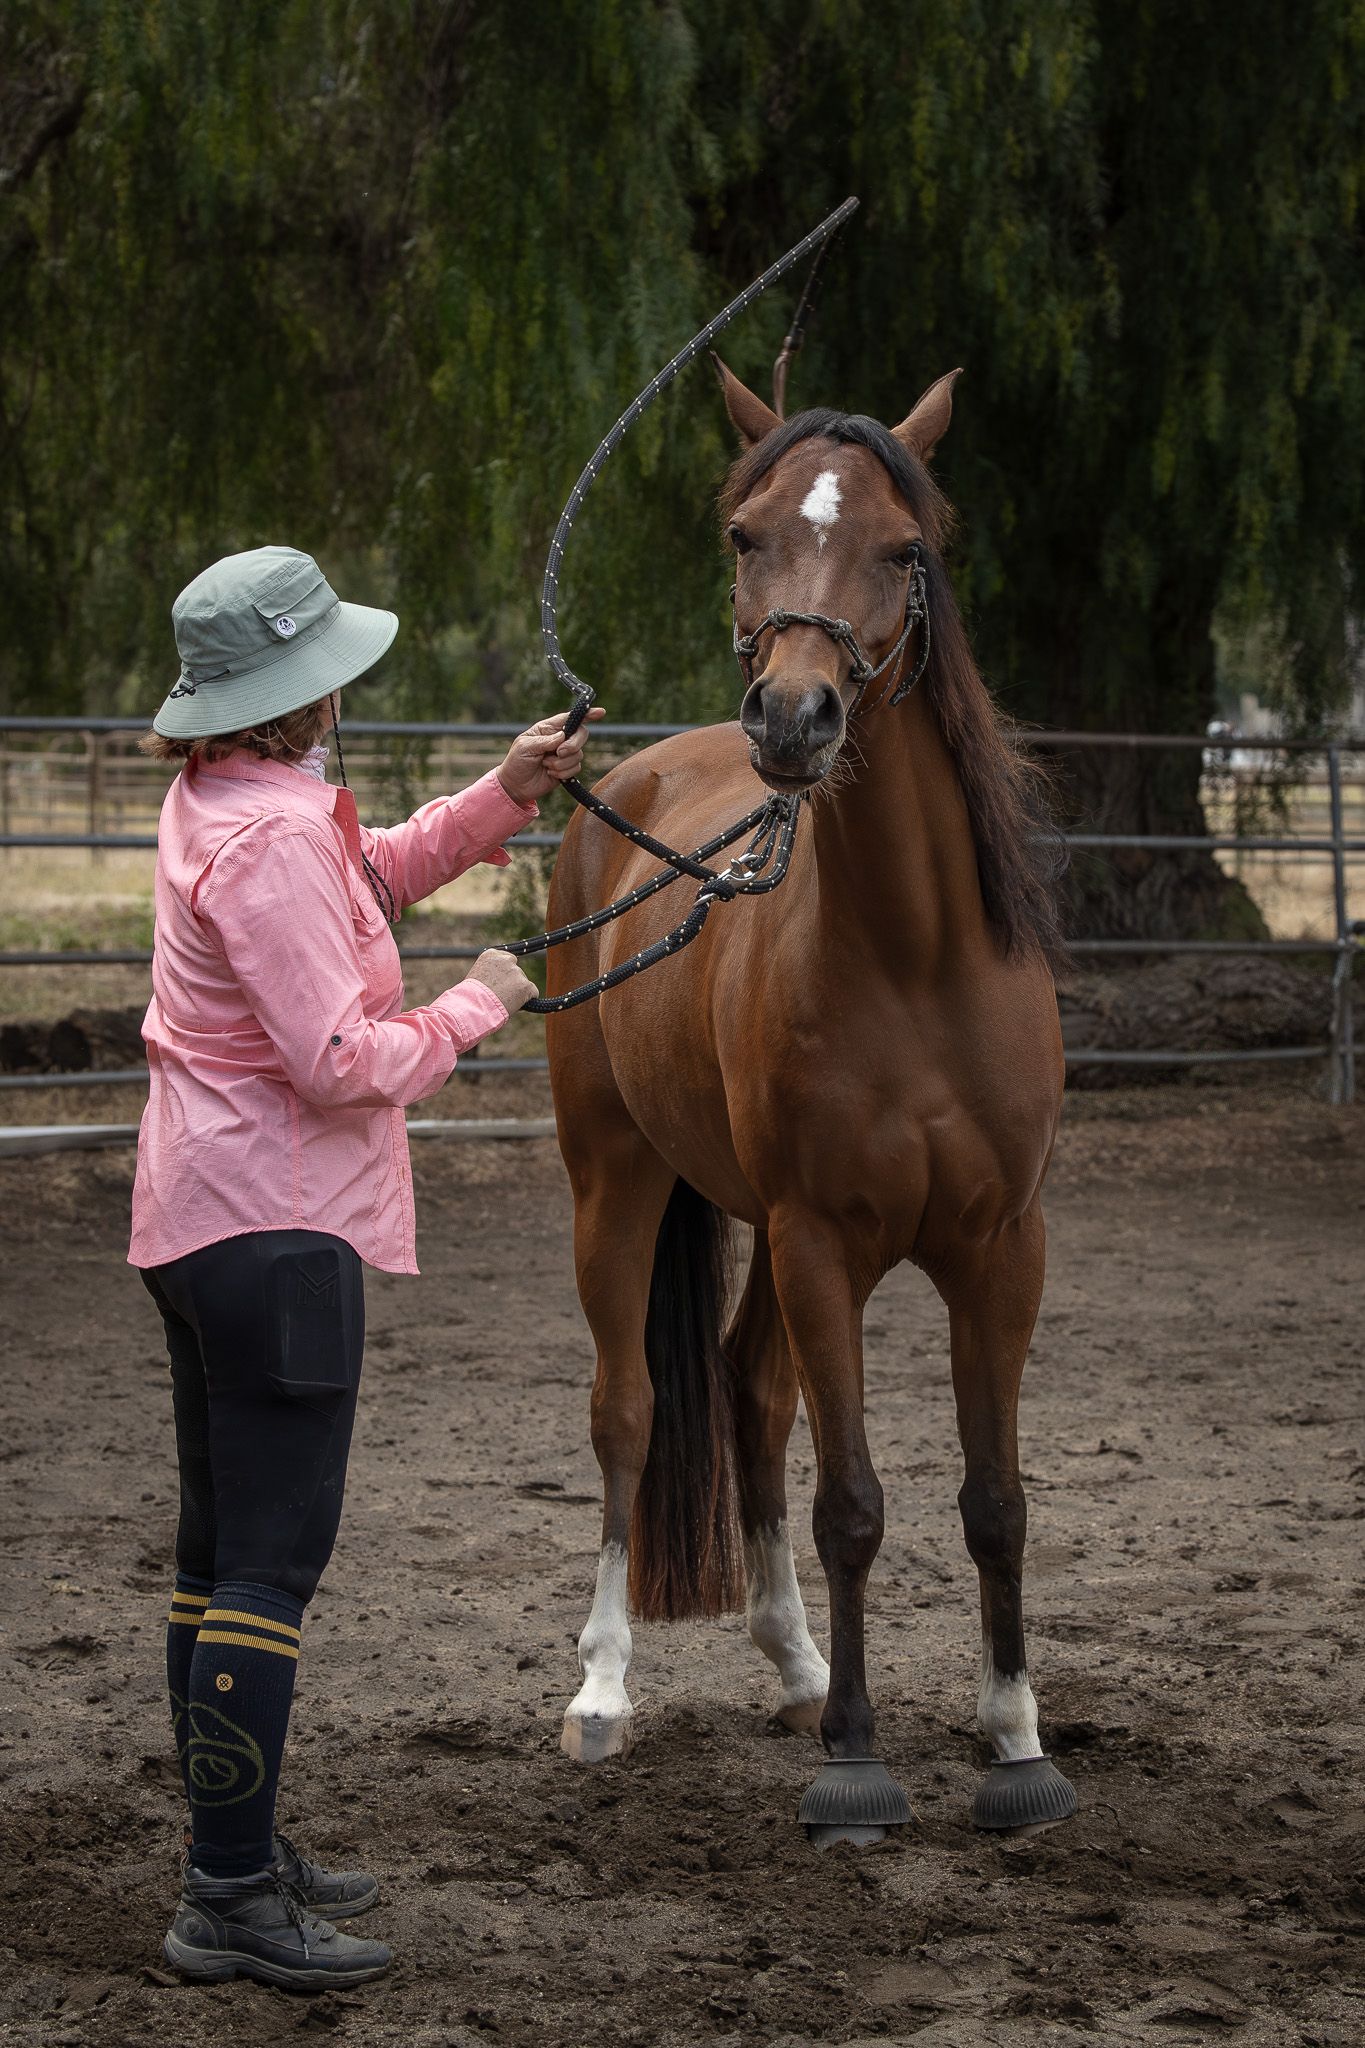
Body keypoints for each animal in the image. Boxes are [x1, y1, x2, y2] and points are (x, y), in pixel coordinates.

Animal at [543, 358, 1076, 1838]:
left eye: (905, 549)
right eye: (746, 534)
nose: (793, 719)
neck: (913, 957)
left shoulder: (1001, 1249)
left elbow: (995, 1499)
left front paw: (1016, 1739)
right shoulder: (824, 1242)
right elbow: (853, 1503)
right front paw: (854, 1760)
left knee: (745, 1392)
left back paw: (793, 1662)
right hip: (619, 1183)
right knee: (630, 1410)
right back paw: (604, 1690)